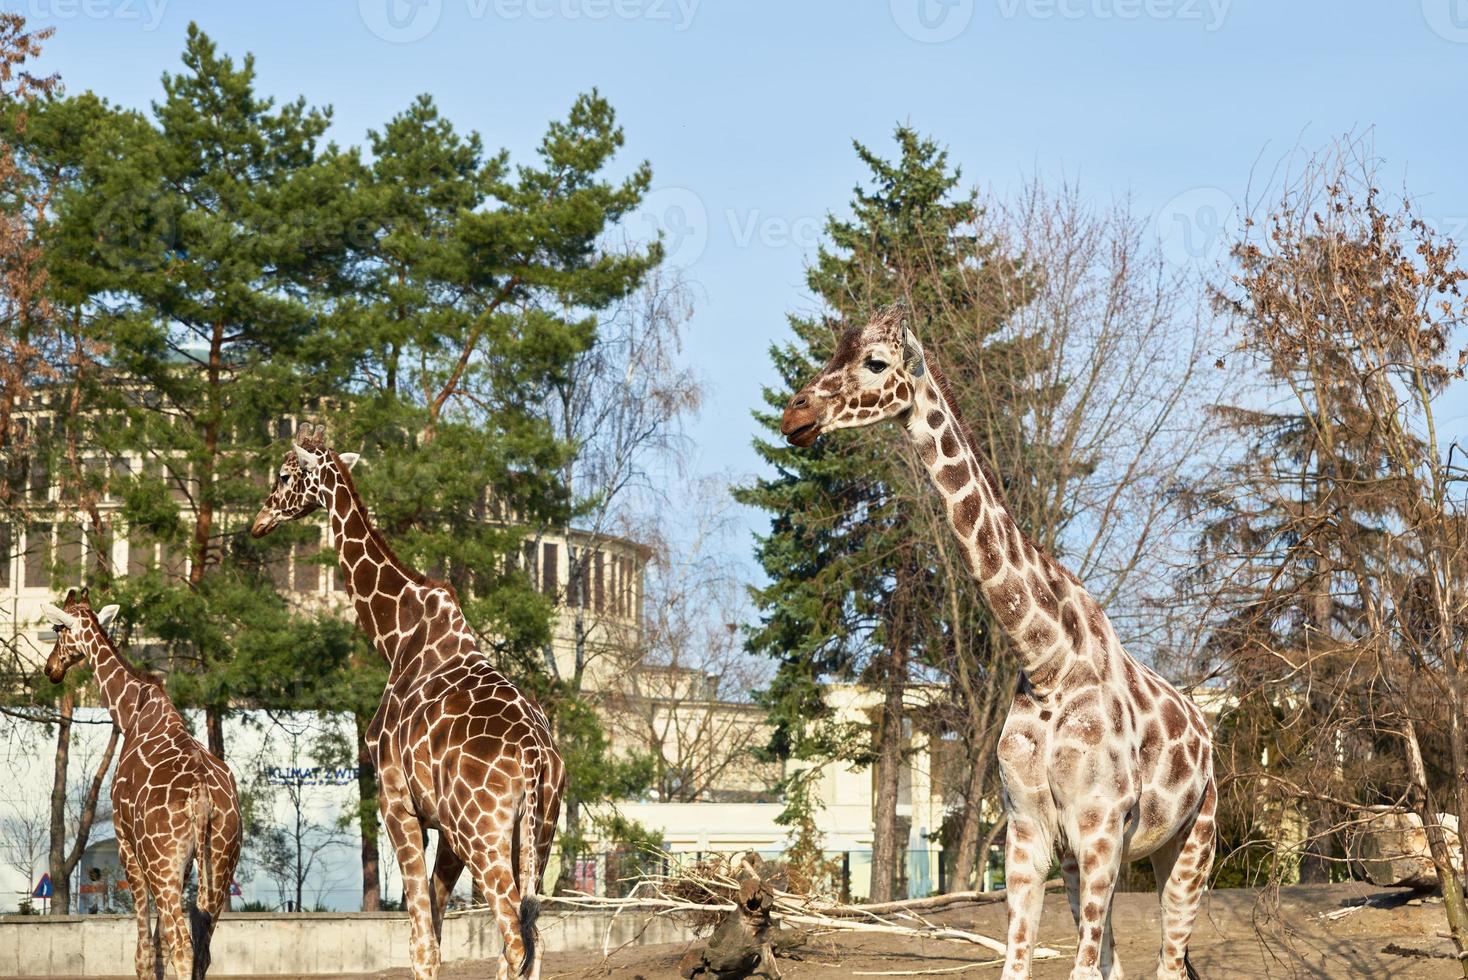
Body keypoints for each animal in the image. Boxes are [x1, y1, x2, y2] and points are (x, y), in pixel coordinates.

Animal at [43, 589, 240, 979]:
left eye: (59, 629)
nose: (50, 668)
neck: (131, 712)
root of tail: (202, 797)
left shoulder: (126, 844)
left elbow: (145, 952)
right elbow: (162, 946)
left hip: (161, 862)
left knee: (182, 946)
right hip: (220, 862)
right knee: (202, 947)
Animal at [249, 422, 563, 979]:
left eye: (285, 474)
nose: (258, 521)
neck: (396, 638)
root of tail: (534, 758)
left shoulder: (395, 801)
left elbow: (421, 943)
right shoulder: (445, 828)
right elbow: (433, 931)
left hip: (485, 835)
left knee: (514, 938)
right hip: (536, 833)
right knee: (534, 938)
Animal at [780, 308, 1215, 979]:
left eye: (875, 363)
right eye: (833, 352)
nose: (793, 416)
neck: (1046, 659)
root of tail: (1208, 735)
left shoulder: (1100, 826)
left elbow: (1079, 969)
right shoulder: (1031, 829)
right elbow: (1019, 965)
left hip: (1191, 845)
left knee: (1168, 959)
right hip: (1095, 860)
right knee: (1118, 961)